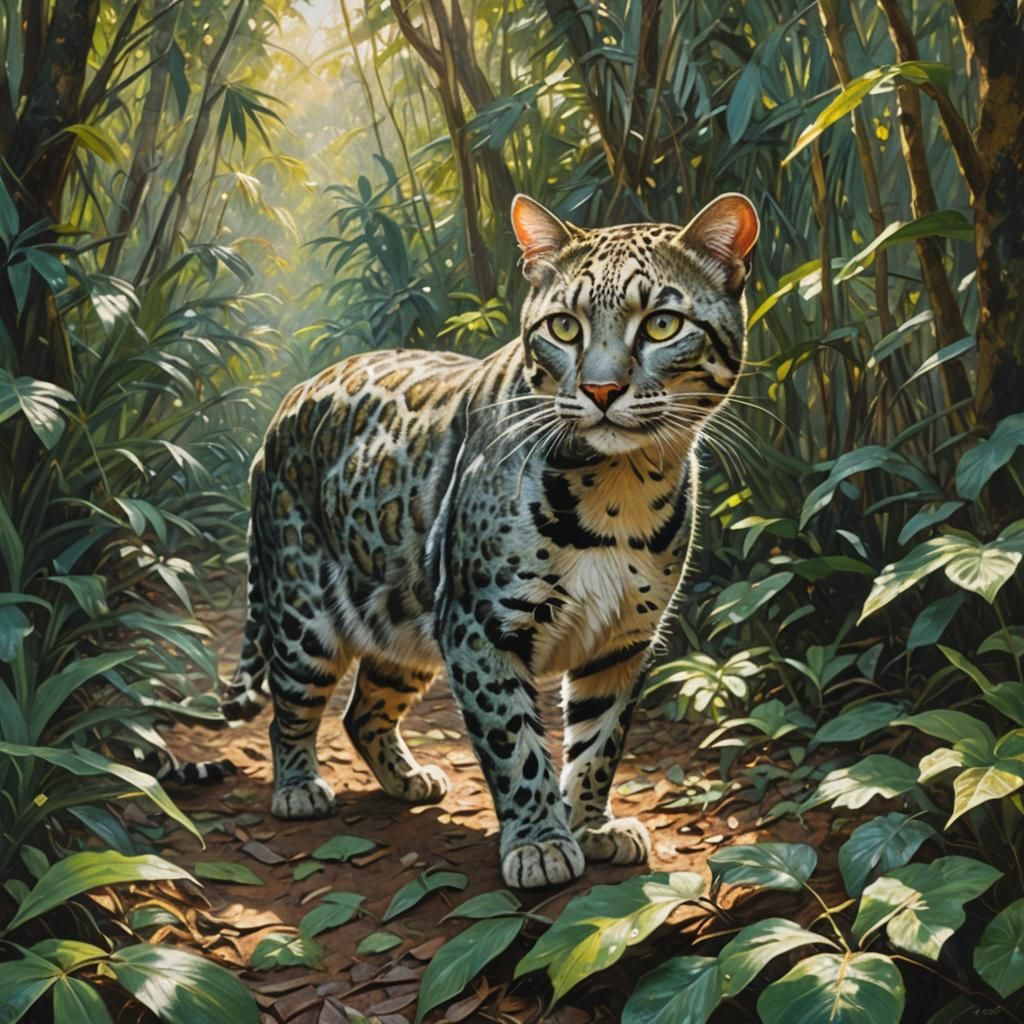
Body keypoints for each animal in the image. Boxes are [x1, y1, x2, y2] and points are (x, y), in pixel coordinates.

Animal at [214, 191, 760, 889]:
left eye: (662, 325)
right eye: (564, 328)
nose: (601, 391)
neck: (622, 485)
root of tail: (287, 404)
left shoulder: (622, 641)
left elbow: (599, 741)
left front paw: (591, 826)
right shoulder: (480, 625)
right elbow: (514, 741)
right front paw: (540, 844)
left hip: (404, 616)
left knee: (362, 711)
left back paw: (409, 780)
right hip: (303, 613)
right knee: (292, 705)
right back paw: (297, 788)